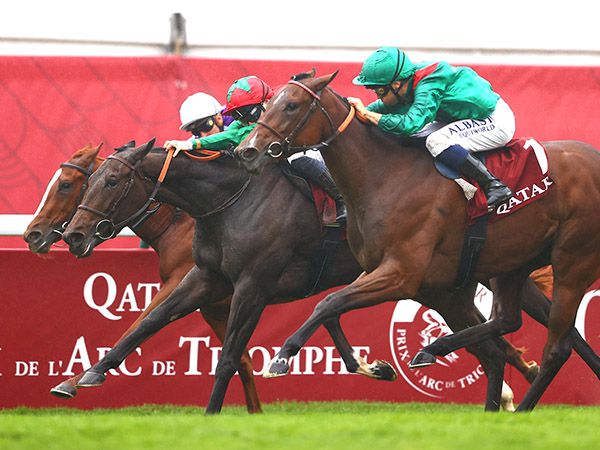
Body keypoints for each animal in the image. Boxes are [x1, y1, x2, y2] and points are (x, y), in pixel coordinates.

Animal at [22, 142, 262, 414]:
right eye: (89, 182)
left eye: (65, 185)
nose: (32, 234)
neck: (178, 225)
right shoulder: (214, 306)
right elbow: (243, 361)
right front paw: (255, 414)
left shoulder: (180, 283)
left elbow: (137, 325)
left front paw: (73, 381)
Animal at [61, 142, 584, 414]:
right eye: (86, 183)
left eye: (111, 182)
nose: (74, 235)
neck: (229, 201)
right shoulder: (207, 279)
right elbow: (146, 324)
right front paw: (84, 376)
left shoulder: (253, 285)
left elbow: (231, 355)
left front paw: (211, 415)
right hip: (443, 287)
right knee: (493, 344)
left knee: (554, 330)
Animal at [234, 71, 600, 412]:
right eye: (269, 103)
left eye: (292, 105)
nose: (246, 151)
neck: (385, 175)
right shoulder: (383, 270)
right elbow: (331, 308)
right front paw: (370, 366)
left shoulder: (402, 273)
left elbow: (328, 303)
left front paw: (282, 357)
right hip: (511, 264)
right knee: (507, 321)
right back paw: (438, 352)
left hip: (572, 261)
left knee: (557, 346)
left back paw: (518, 404)